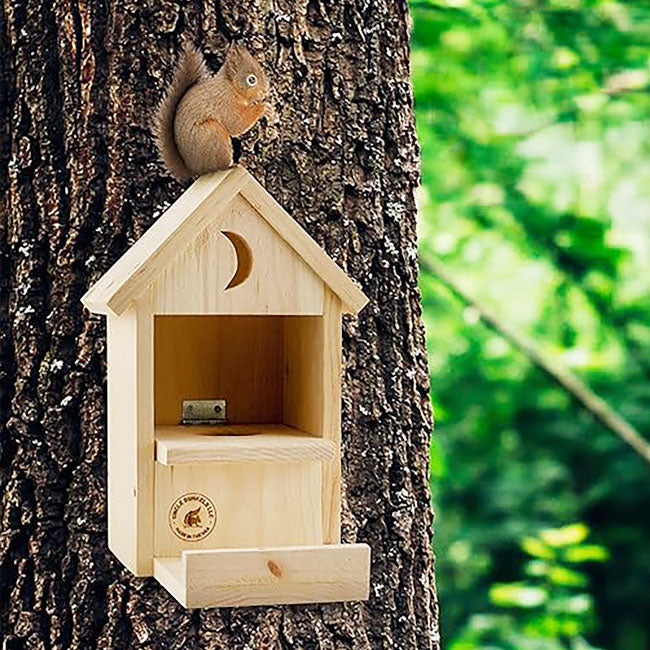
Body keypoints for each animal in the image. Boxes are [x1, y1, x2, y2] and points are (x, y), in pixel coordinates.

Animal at [154, 42, 274, 180]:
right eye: (251, 79)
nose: (266, 91)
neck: (231, 86)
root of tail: (195, 170)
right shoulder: (225, 102)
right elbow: (236, 123)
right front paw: (264, 108)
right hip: (212, 134)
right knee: (219, 166)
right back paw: (234, 164)